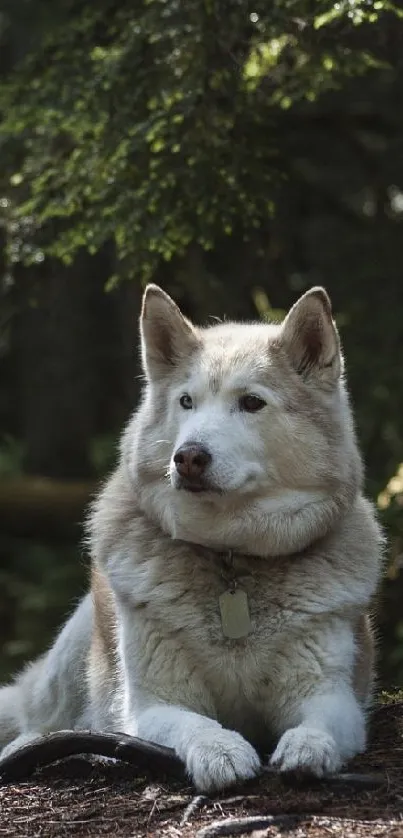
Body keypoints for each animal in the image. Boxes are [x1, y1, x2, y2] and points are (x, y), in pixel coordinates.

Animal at [0, 286, 386, 792]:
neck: (231, 558)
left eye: (251, 403)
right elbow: (195, 724)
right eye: (186, 402)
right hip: (73, 656)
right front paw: (220, 751)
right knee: (39, 724)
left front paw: (309, 749)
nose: (187, 457)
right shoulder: (154, 704)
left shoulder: (332, 695)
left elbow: (318, 725)